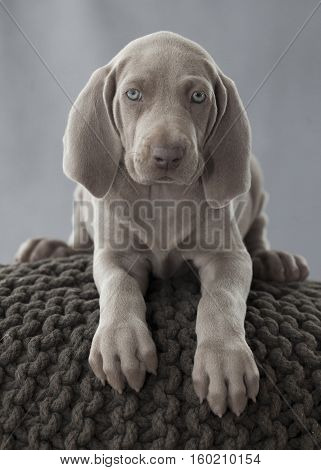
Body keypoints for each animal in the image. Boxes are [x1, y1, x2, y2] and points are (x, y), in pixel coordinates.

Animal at [15, 31, 308, 416]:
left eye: (198, 96)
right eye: (133, 94)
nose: (167, 155)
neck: (164, 196)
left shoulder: (227, 257)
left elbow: (220, 299)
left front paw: (224, 361)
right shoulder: (116, 256)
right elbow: (119, 287)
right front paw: (121, 342)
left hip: (255, 179)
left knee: (258, 227)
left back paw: (275, 260)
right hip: (84, 194)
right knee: (79, 234)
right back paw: (48, 247)